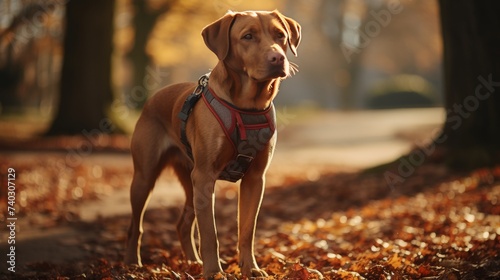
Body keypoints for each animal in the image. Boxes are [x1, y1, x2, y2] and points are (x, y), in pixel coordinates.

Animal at [124, 9, 300, 278]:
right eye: (247, 36)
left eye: (280, 35)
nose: (277, 58)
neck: (248, 107)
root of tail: (152, 98)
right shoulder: (206, 176)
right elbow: (210, 234)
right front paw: (213, 272)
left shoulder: (255, 179)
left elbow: (246, 230)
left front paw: (251, 268)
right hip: (146, 176)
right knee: (136, 225)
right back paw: (134, 262)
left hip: (190, 179)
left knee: (183, 223)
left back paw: (192, 262)